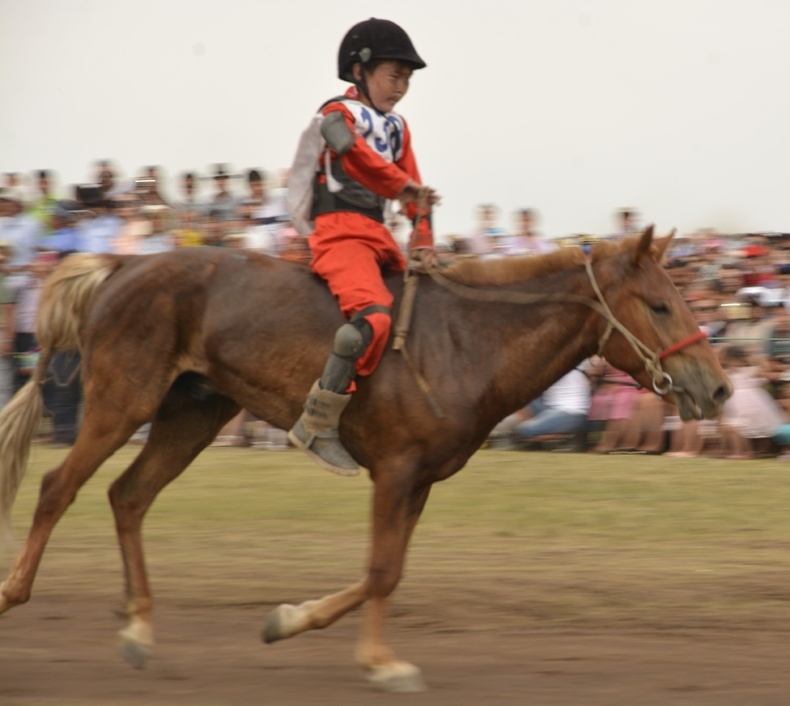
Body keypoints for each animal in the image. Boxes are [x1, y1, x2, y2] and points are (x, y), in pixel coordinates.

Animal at [0, 226, 732, 688]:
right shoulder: (396, 471)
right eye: (659, 305)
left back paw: (140, 628)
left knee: (129, 496)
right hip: (122, 401)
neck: (468, 341)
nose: (719, 386)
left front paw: (291, 620)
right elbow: (381, 571)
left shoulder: (421, 480)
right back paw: (14, 592)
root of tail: (120, 266)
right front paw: (381, 663)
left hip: (191, 414)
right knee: (57, 488)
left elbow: (387, 572)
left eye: (681, 298)